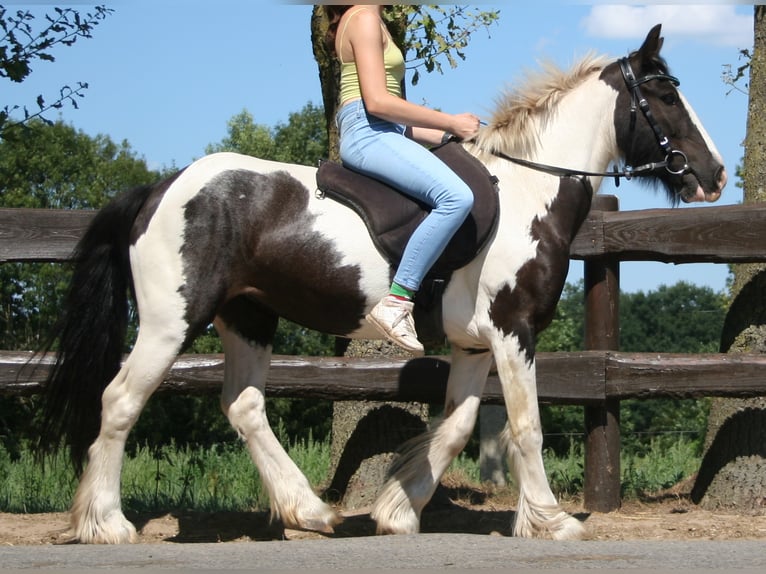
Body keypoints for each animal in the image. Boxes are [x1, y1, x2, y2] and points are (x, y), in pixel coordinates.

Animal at [37, 25, 728, 544]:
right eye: (666, 95)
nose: (715, 175)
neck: (528, 190)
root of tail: (160, 188)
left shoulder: (475, 344)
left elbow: (457, 426)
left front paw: (398, 510)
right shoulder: (513, 332)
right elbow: (525, 425)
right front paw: (551, 521)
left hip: (250, 317)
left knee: (244, 405)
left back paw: (311, 512)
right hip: (170, 322)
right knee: (121, 400)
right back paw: (107, 524)